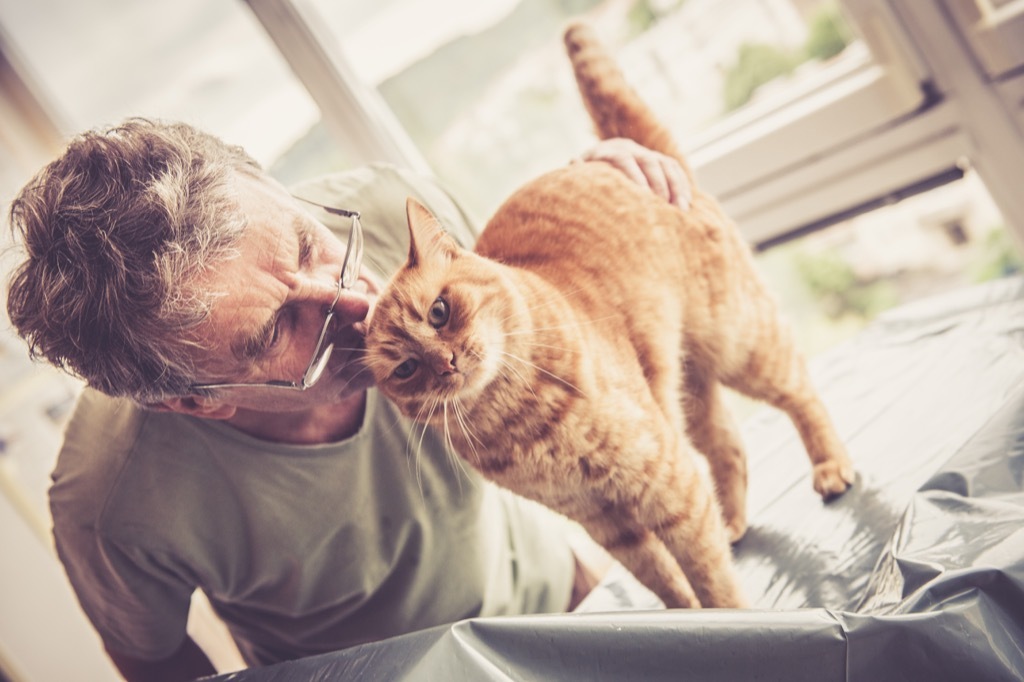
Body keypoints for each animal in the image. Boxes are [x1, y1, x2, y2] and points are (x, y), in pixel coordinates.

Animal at [364, 22, 851, 606]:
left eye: (439, 311)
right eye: (406, 369)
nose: (446, 364)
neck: (515, 422)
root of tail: (635, 157)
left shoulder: (665, 484)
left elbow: (709, 579)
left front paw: (732, 614)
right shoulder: (605, 521)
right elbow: (665, 581)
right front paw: (689, 613)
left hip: (741, 343)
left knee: (801, 395)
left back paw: (831, 467)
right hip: (685, 388)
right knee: (727, 444)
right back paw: (733, 522)